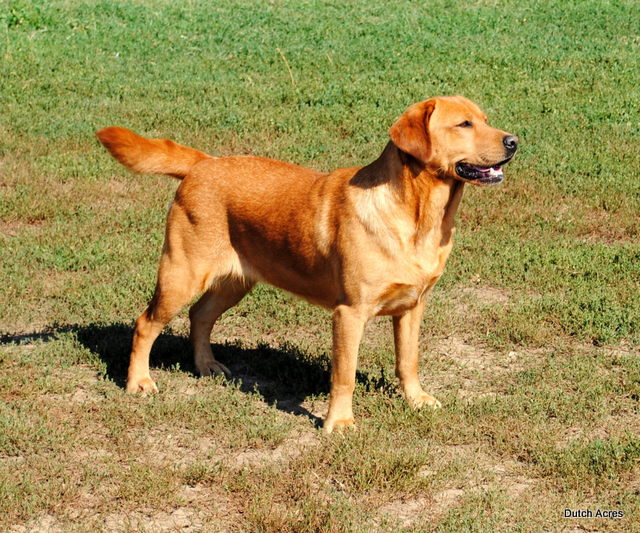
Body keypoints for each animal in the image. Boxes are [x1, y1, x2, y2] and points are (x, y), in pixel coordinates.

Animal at [99, 95, 520, 432]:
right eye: (464, 124)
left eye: (484, 119)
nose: (514, 141)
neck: (419, 218)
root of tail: (204, 163)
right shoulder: (349, 312)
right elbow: (344, 375)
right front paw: (340, 423)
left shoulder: (413, 306)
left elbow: (408, 361)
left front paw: (417, 400)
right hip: (181, 273)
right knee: (145, 324)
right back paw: (139, 383)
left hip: (235, 281)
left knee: (200, 316)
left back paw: (207, 366)